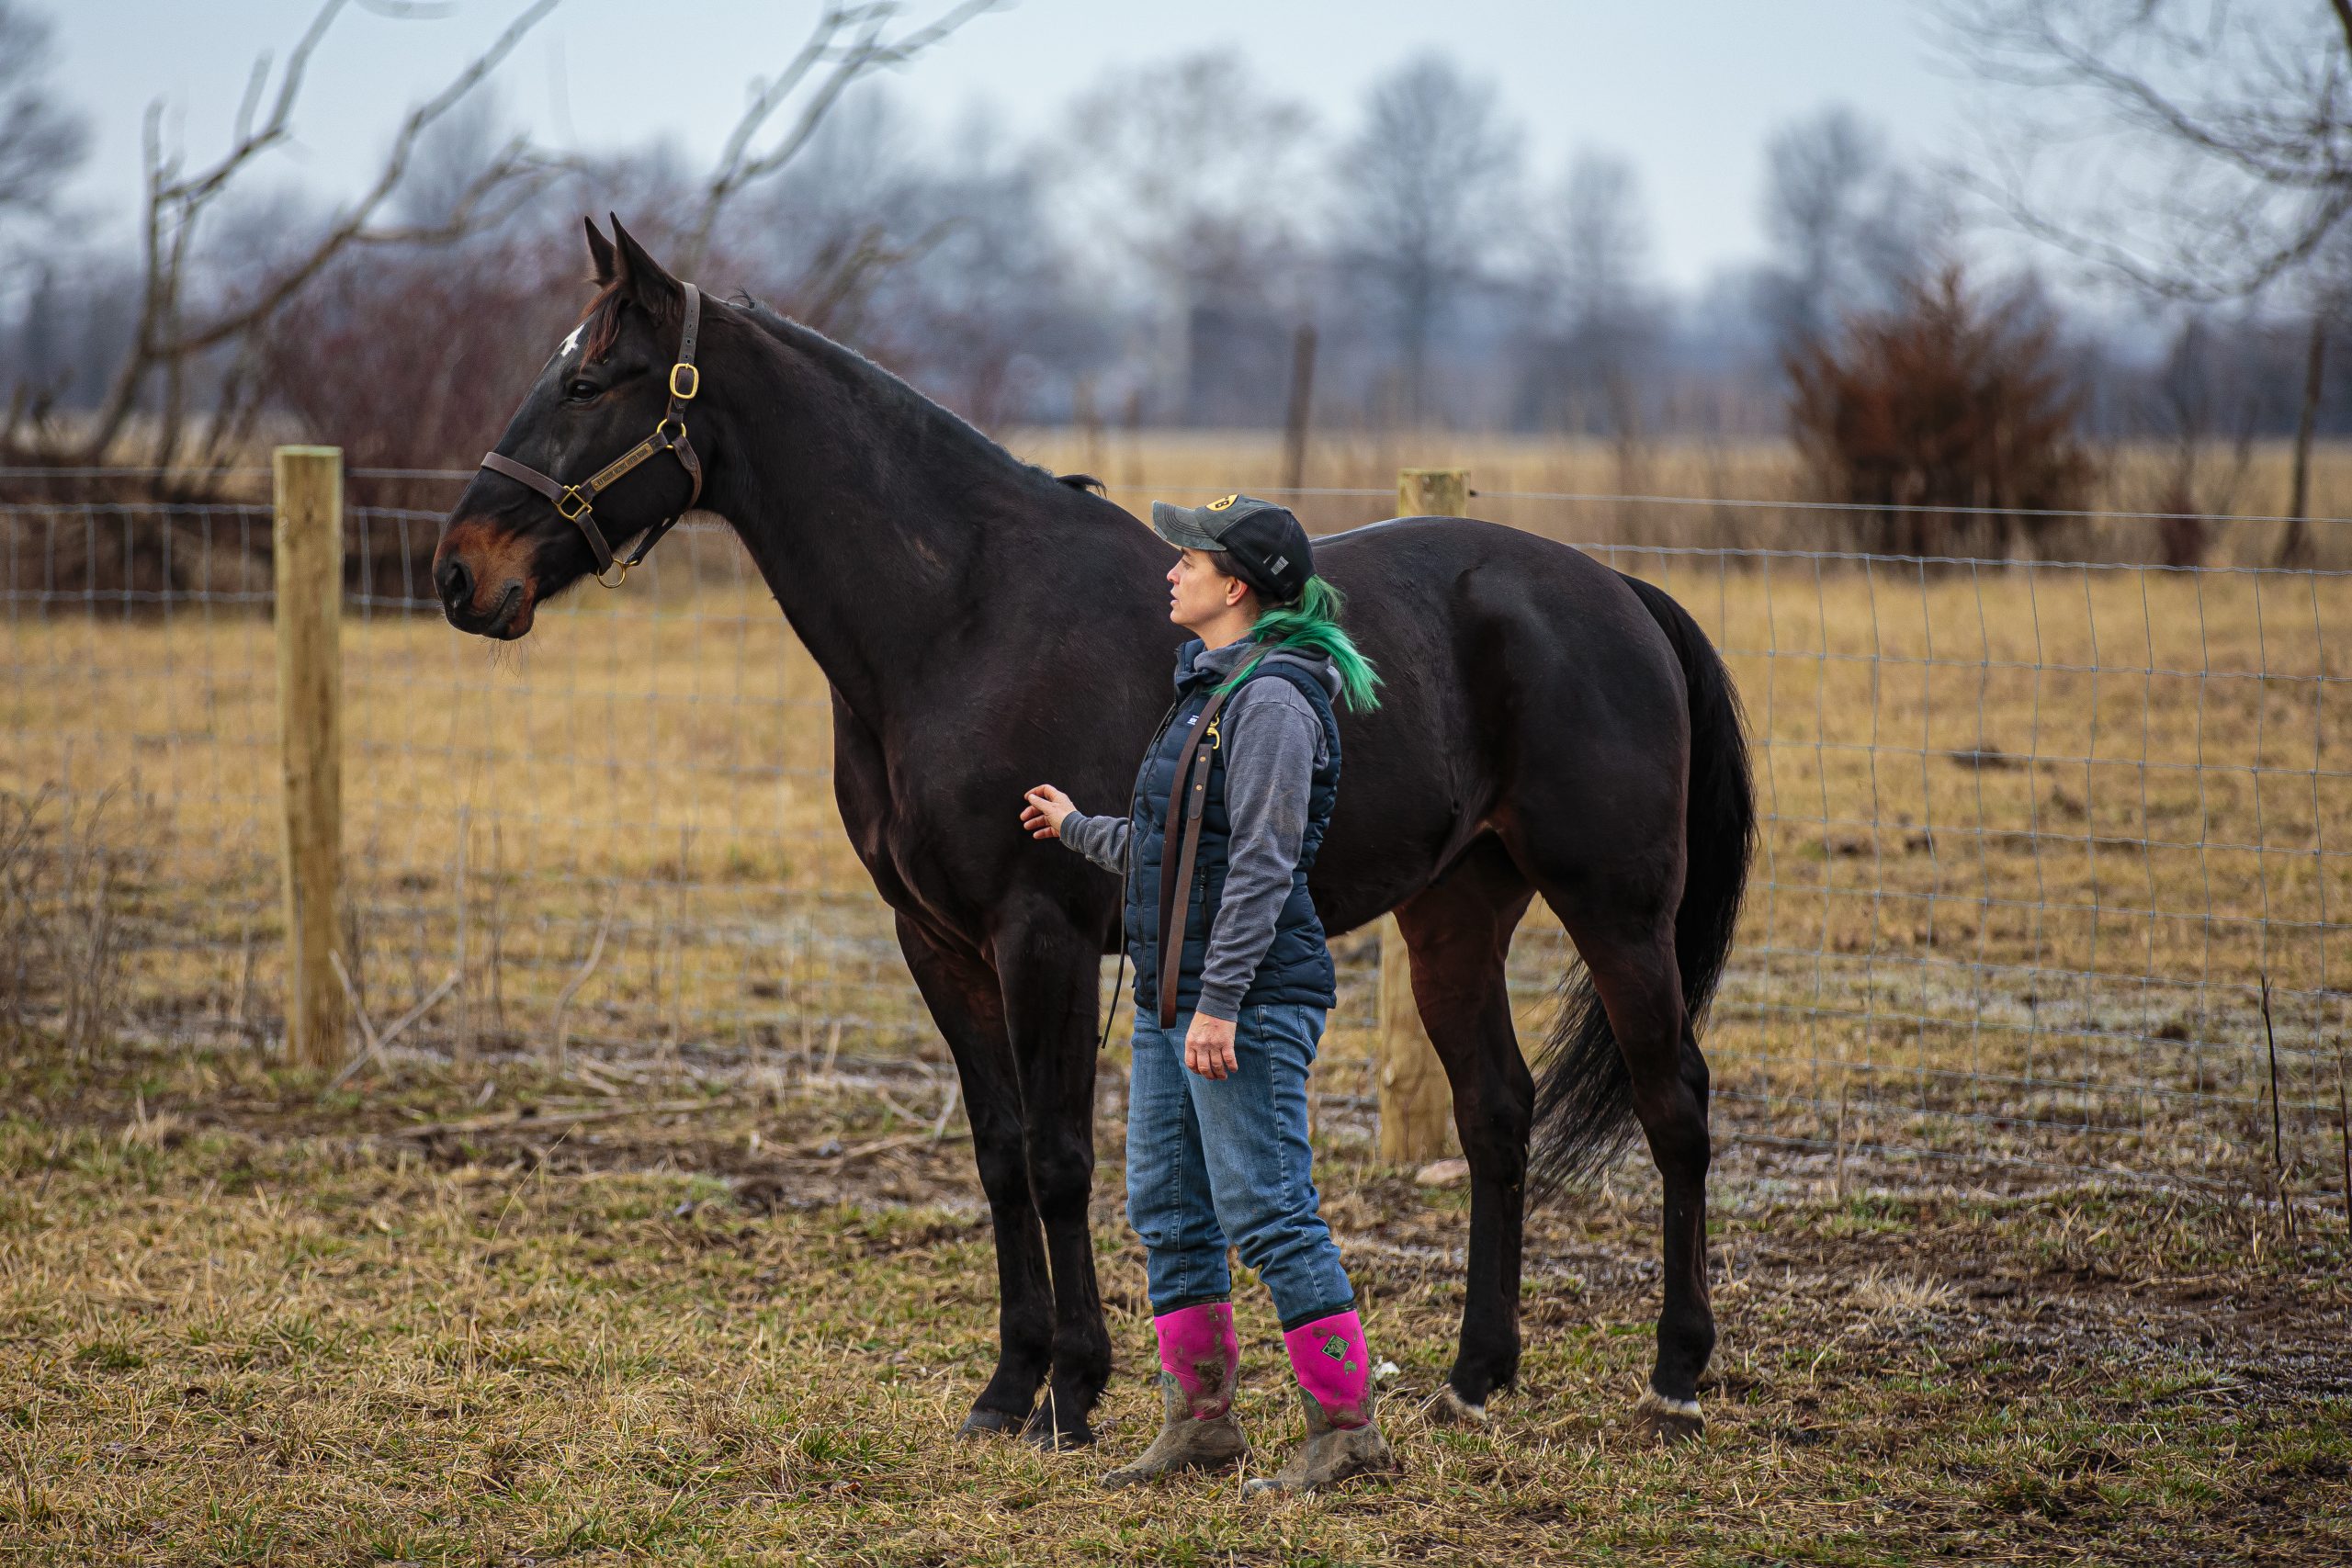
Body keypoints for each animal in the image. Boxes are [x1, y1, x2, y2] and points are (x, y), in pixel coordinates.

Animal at [433, 220, 1749, 1448]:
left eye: (589, 384)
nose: (457, 575)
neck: (959, 618)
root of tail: (1622, 594)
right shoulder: (938, 945)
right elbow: (1001, 1154)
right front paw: (1007, 1387)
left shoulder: (1042, 934)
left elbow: (1063, 1158)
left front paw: (1073, 1392)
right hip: (1456, 912)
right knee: (1496, 1114)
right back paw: (1477, 1375)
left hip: (1616, 908)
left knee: (1673, 1103)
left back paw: (1676, 1373)